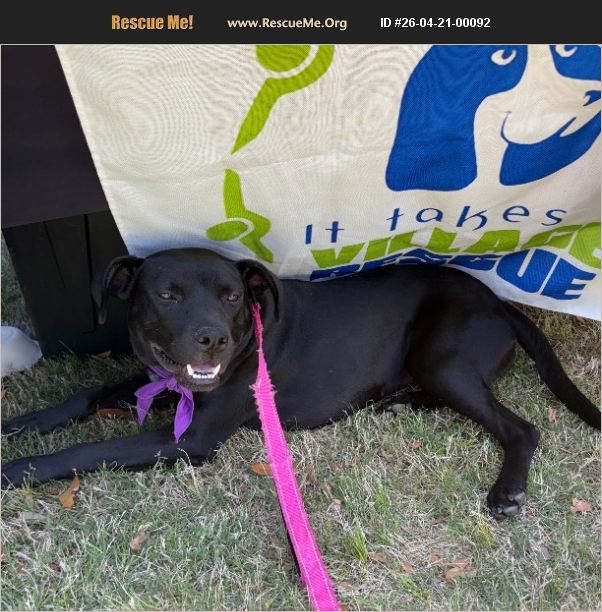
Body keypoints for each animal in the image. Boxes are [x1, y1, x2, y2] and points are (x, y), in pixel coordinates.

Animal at [2, 248, 599, 518]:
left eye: (232, 296)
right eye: (167, 295)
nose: (213, 339)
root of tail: (497, 299)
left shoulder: (190, 439)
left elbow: (86, 450)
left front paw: (18, 469)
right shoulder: (159, 383)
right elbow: (85, 395)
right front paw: (27, 421)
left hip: (444, 360)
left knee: (521, 428)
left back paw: (507, 490)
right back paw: (401, 403)